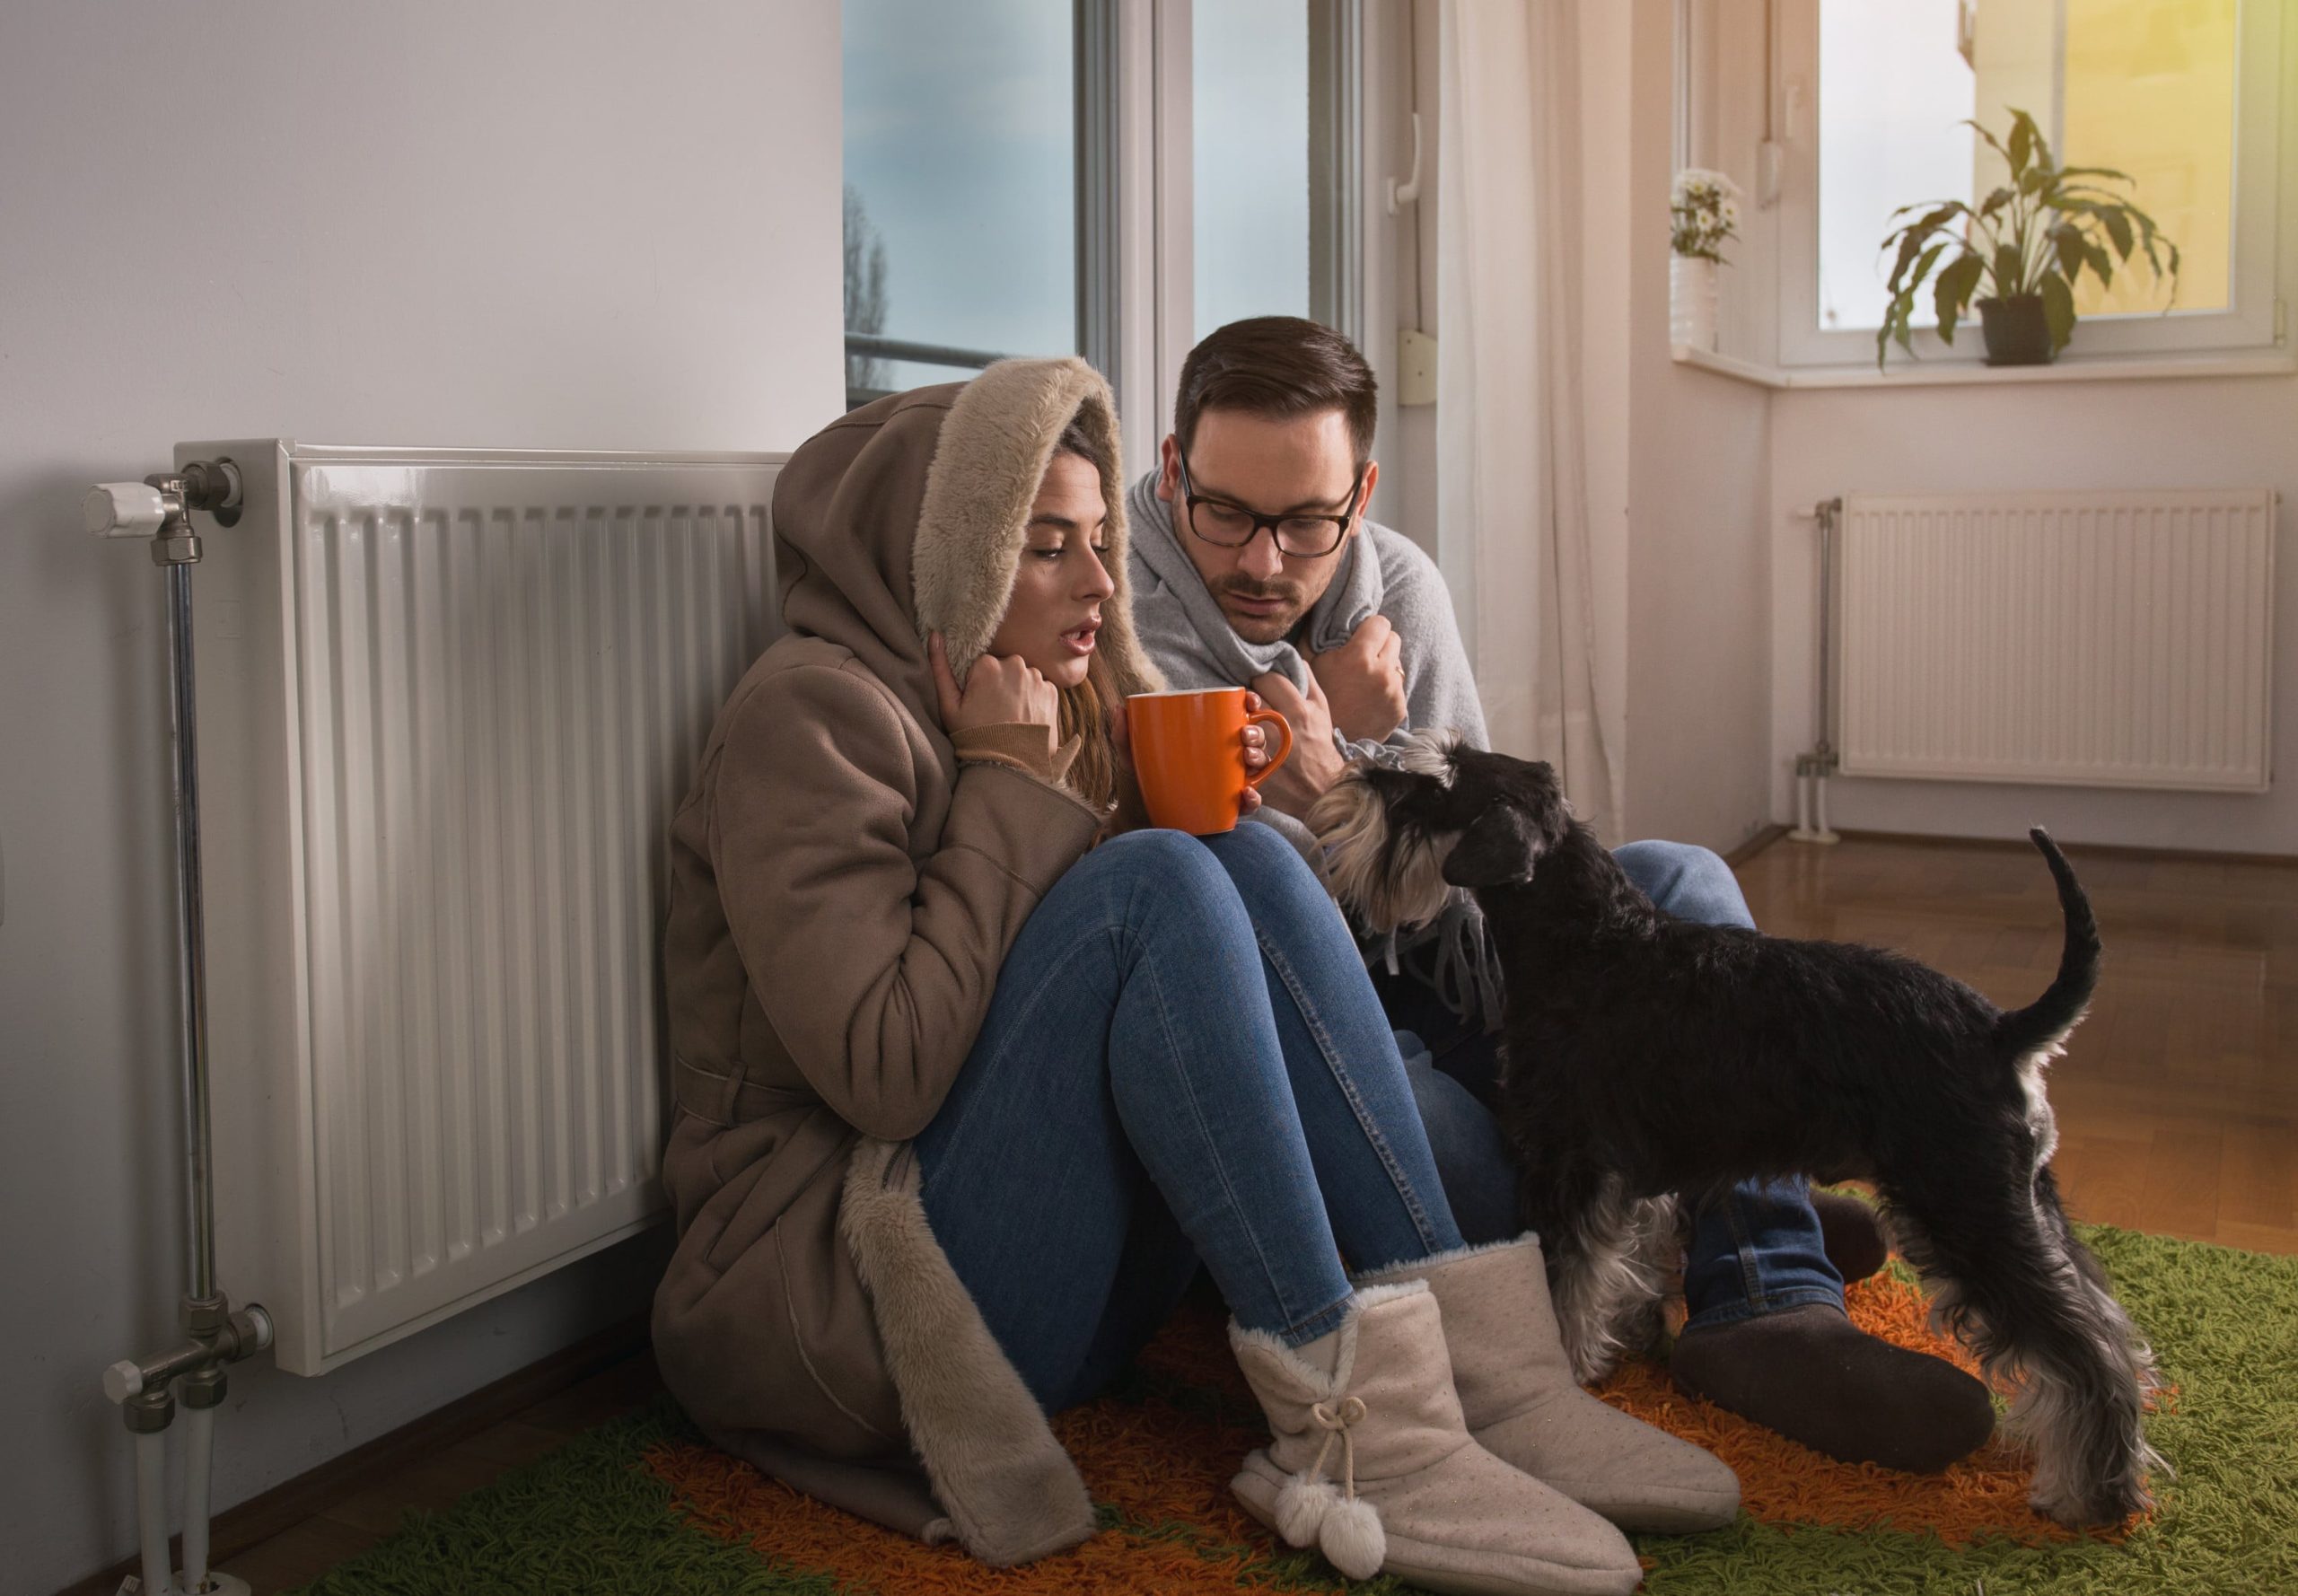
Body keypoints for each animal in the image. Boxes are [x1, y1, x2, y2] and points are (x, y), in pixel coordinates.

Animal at [1323, 730, 2160, 1533]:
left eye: (1436, 781)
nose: (1353, 772)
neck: (1587, 940)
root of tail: (2002, 1032)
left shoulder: (1567, 1166)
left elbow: (1563, 1286)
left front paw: (1568, 1373)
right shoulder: (1629, 1179)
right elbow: (1620, 1267)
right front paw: (1623, 1341)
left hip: (1966, 1208)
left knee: (2084, 1353)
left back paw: (2093, 1496)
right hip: (2021, 1199)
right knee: (2106, 1321)